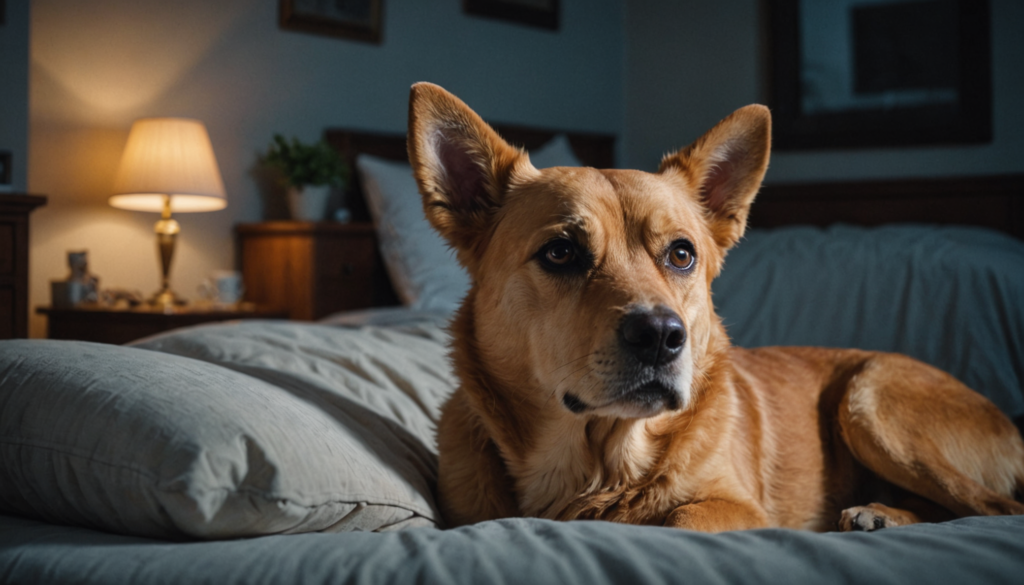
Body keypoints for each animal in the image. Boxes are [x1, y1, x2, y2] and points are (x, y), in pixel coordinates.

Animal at [407, 83, 1024, 536]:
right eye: (561, 252)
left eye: (681, 254)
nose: (661, 336)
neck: (599, 470)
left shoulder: (738, 508)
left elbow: (677, 523)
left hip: (868, 400)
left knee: (995, 507)